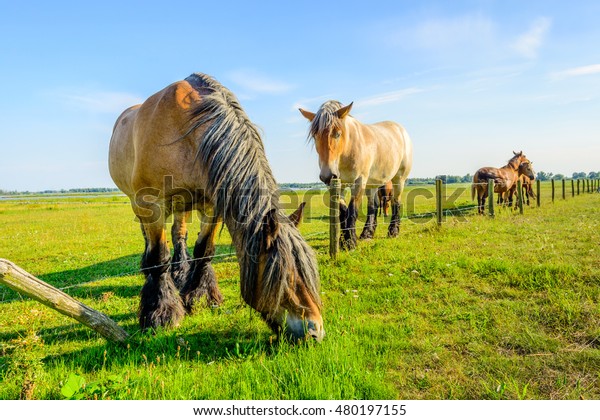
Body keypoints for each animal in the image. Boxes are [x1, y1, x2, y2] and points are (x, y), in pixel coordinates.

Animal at [108, 72, 324, 342]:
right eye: (285, 278)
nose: (315, 331)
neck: (187, 133)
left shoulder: (213, 205)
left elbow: (204, 250)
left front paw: (200, 296)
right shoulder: (152, 204)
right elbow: (158, 255)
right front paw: (160, 312)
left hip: (182, 205)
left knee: (179, 234)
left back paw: (180, 273)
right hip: (138, 203)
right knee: (151, 241)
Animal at [300, 101, 412, 249]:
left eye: (337, 134)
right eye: (315, 136)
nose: (327, 175)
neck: (347, 149)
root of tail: (400, 129)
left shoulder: (359, 181)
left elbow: (352, 210)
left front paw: (350, 242)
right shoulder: (337, 184)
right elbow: (343, 211)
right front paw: (343, 241)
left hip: (398, 179)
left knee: (396, 202)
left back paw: (393, 231)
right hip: (372, 183)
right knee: (373, 206)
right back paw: (367, 234)